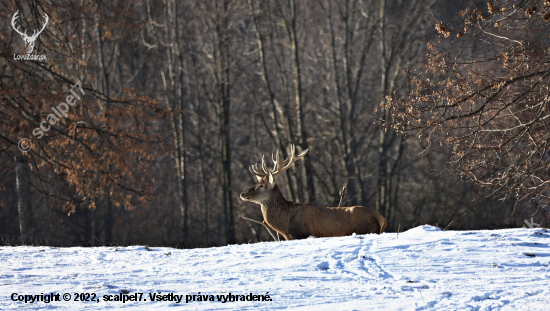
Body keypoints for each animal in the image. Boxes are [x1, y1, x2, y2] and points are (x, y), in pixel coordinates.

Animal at [240, 145, 388, 243]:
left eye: (261, 186)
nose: (242, 193)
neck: (285, 225)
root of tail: (381, 218)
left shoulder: (301, 234)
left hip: (365, 228)